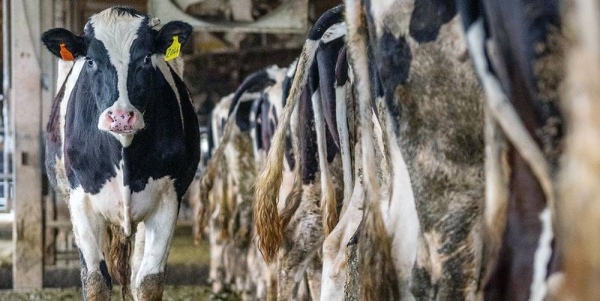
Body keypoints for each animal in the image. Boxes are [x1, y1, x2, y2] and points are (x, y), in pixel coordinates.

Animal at [40, 7, 199, 300]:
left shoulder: (167, 199)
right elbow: (95, 282)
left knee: (135, 271)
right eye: (91, 61)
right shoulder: (82, 202)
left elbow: (148, 282)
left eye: (146, 58)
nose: (121, 116)